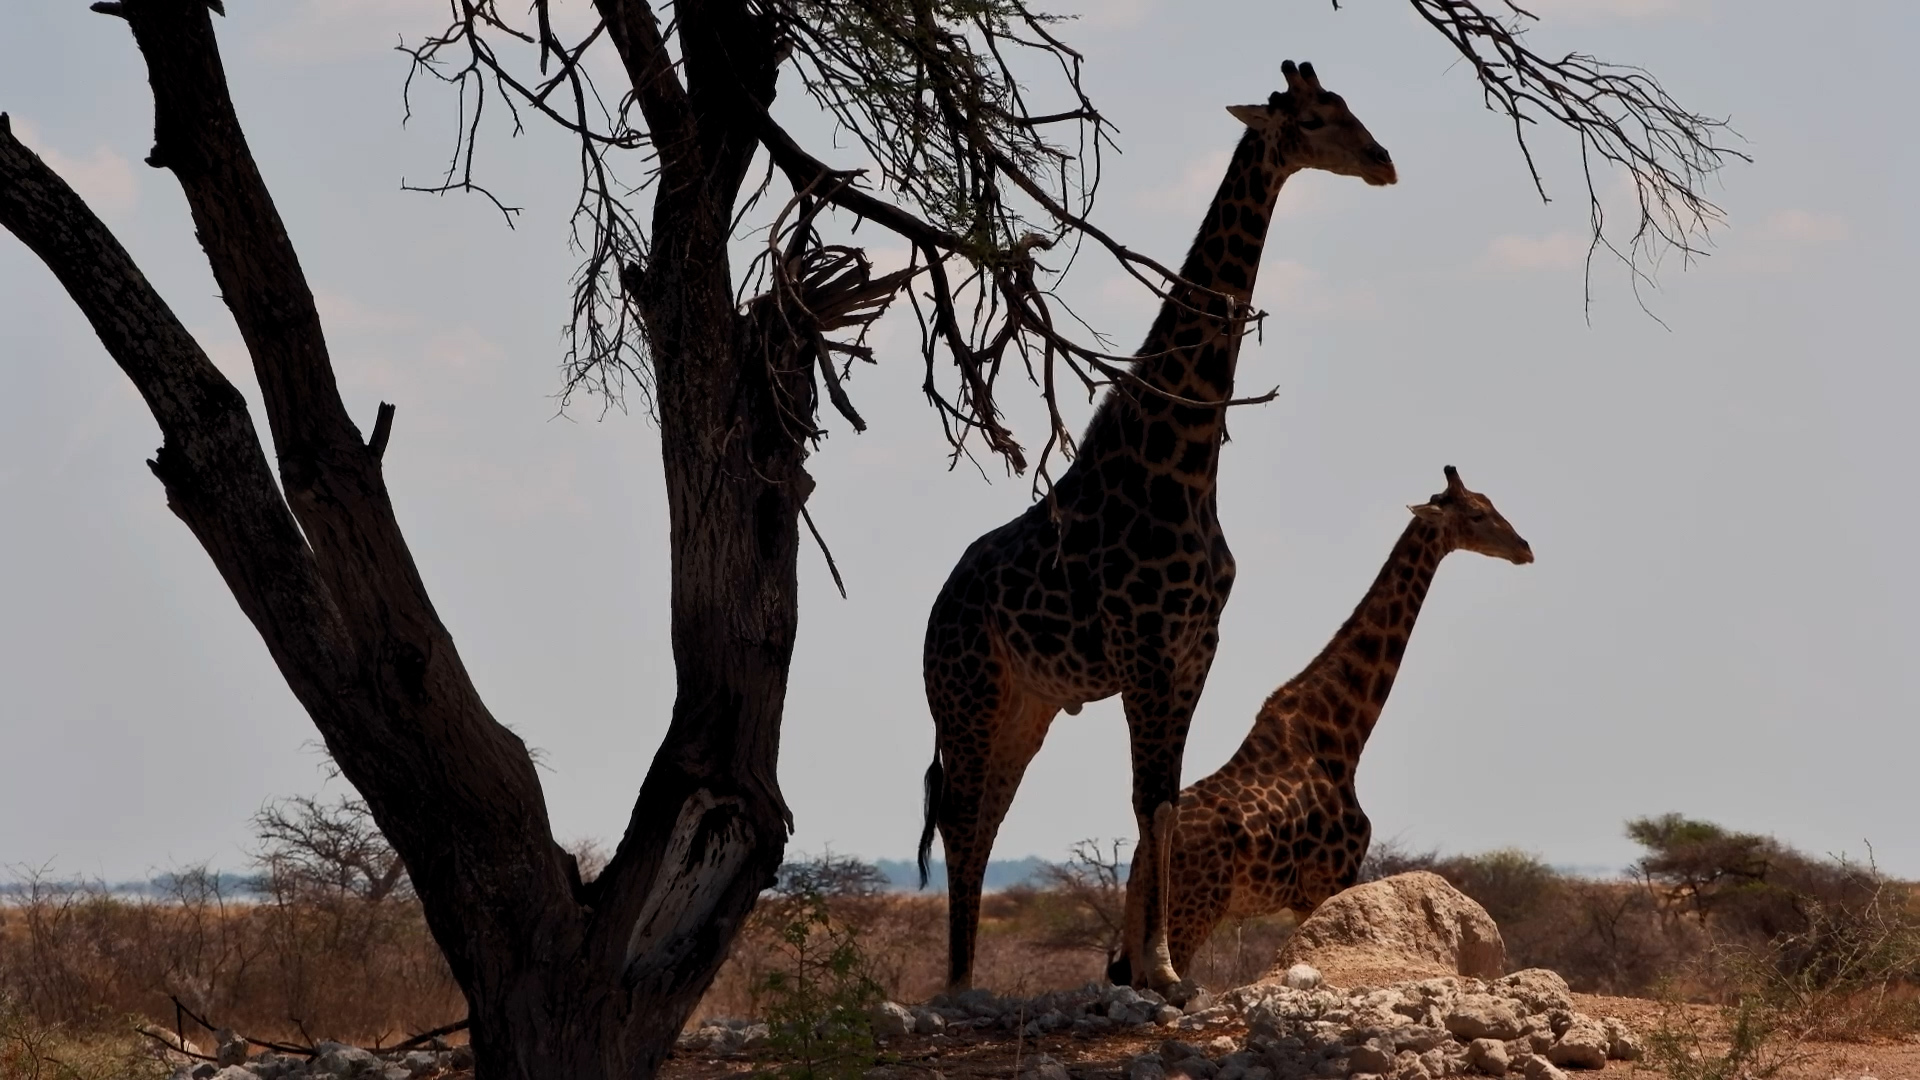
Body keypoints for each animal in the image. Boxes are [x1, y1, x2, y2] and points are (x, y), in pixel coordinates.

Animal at [918, 61, 1397, 994]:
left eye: (1350, 106)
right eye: (1316, 118)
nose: (1383, 161)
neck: (1184, 463)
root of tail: (933, 614)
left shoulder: (1194, 647)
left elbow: (1167, 803)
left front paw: (1159, 968)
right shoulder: (1142, 645)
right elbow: (1146, 799)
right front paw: (1159, 969)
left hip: (1027, 702)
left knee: (987, 813)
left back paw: (968, 974)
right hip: (967, 690)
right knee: (959, 814)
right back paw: (956, 985)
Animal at [1106, 466, 1534, 986]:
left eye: (1490, 504)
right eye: (1476, 514)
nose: (1524, 547)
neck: (1341, 735)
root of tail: (1136, 863)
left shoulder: (1305, 894)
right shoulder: (1330, 879)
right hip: (1194, 911)